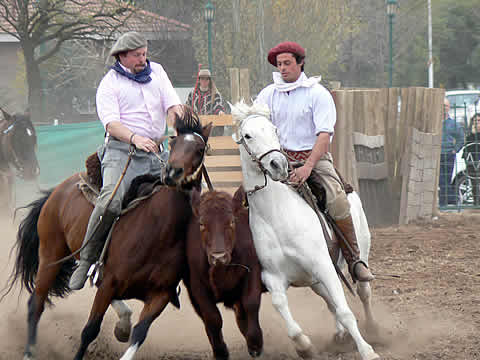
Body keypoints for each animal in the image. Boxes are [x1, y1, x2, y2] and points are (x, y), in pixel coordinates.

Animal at [2, 109, 212, 360]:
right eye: (174, 142)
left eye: (200, 150)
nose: (172, 172)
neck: (160, 229)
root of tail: (56, 191)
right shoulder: (110, 284)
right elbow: (89, 330)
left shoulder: (160, 294)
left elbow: (139, 334)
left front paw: (126, 330)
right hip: (50, 256)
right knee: (36, 304)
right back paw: (28, 352)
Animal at [186, 188, 264, 360]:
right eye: (202, 224)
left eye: (231, 222)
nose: (218, 257)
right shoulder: (197, 286)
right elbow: (212, 318)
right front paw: (221, 351)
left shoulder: (252, 270)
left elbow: (251, 303)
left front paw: (255, 343)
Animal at [231, 101, 380, 360]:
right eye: (247, 135)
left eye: (274, 129)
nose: (278, 165)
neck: (277, 215)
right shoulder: (273, 277)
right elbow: (282, 308)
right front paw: (305, 346)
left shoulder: (323, 265)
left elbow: (345, 311)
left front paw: (367, 351)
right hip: (314, 281)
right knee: (331, 303)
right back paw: (340, 335)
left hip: (359, 252)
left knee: (363, 291)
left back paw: (371, 329)